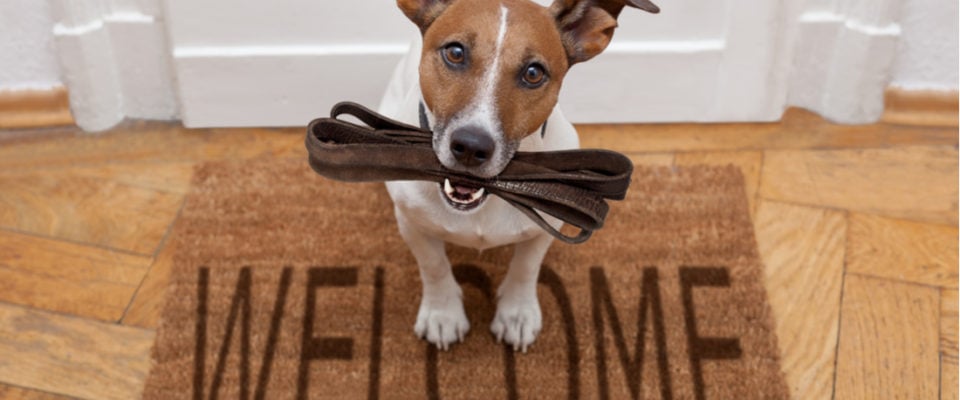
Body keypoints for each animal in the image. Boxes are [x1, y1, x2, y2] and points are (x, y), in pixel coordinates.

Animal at [378, 0, 656, 350]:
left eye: (534, 73)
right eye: (455, 52)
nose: (471, 146)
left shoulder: (546, 227)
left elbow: (526, 267)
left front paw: (517, 313)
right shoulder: (411, 222)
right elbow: (434, 265)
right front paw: (443, 314)